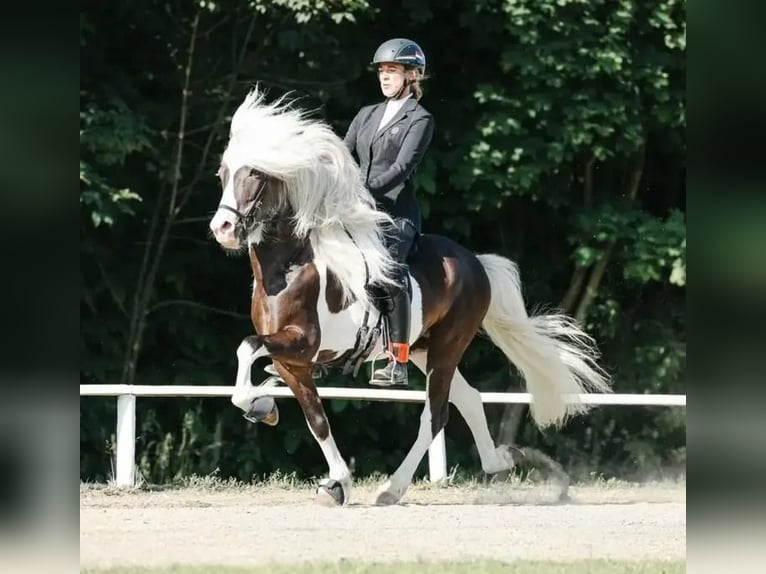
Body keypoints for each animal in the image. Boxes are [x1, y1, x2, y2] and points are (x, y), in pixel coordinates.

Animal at [208, 87, 611, 506]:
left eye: (254, 174)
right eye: (223, 175)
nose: (222, 228)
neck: (288, 268)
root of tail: (475, 263)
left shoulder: (303, 344)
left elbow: (248, 347)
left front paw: (263, 410)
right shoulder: (294, 363)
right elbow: (314, 417)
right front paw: (328, 474)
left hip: (448, 346)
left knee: (436, 414)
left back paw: (393, 488)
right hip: (422, 347)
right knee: (468, 398)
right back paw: (502, 461)